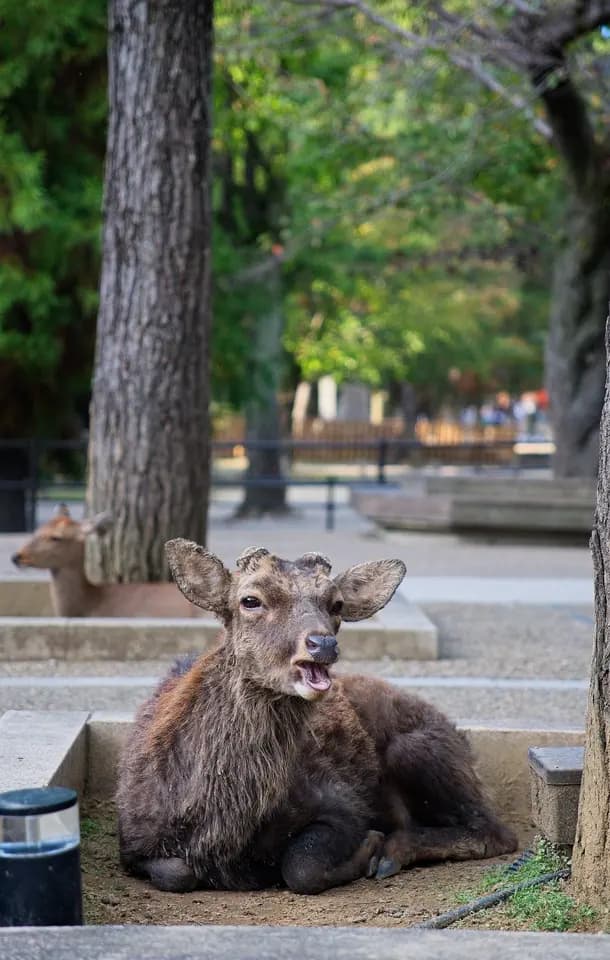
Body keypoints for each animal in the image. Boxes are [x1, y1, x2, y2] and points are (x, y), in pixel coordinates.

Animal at [116, 540, 517, 895]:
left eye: (335, 603)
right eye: (250, 600)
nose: (322, 644)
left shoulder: (340, 801)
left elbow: (302, 868)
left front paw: (370, 847)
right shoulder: (131, 837)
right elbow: (175, 872)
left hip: (418, 751)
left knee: (497, 832)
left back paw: (394, 851)